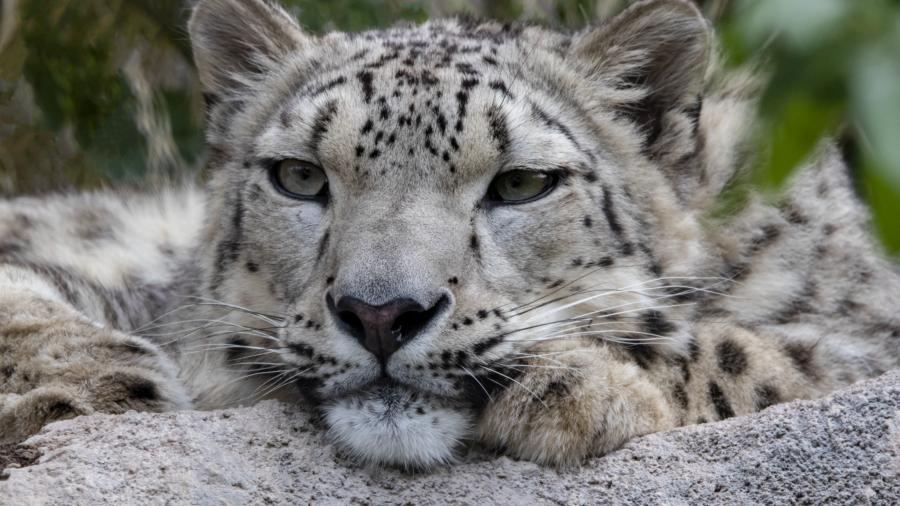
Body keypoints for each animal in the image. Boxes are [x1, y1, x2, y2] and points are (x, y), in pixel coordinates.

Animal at [1, 0, 900, 470]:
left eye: (522, 183)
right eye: (300, 177)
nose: (380, 314)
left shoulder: (864, 338)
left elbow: (751, 353)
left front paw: (571, 386)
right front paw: (99, 384)